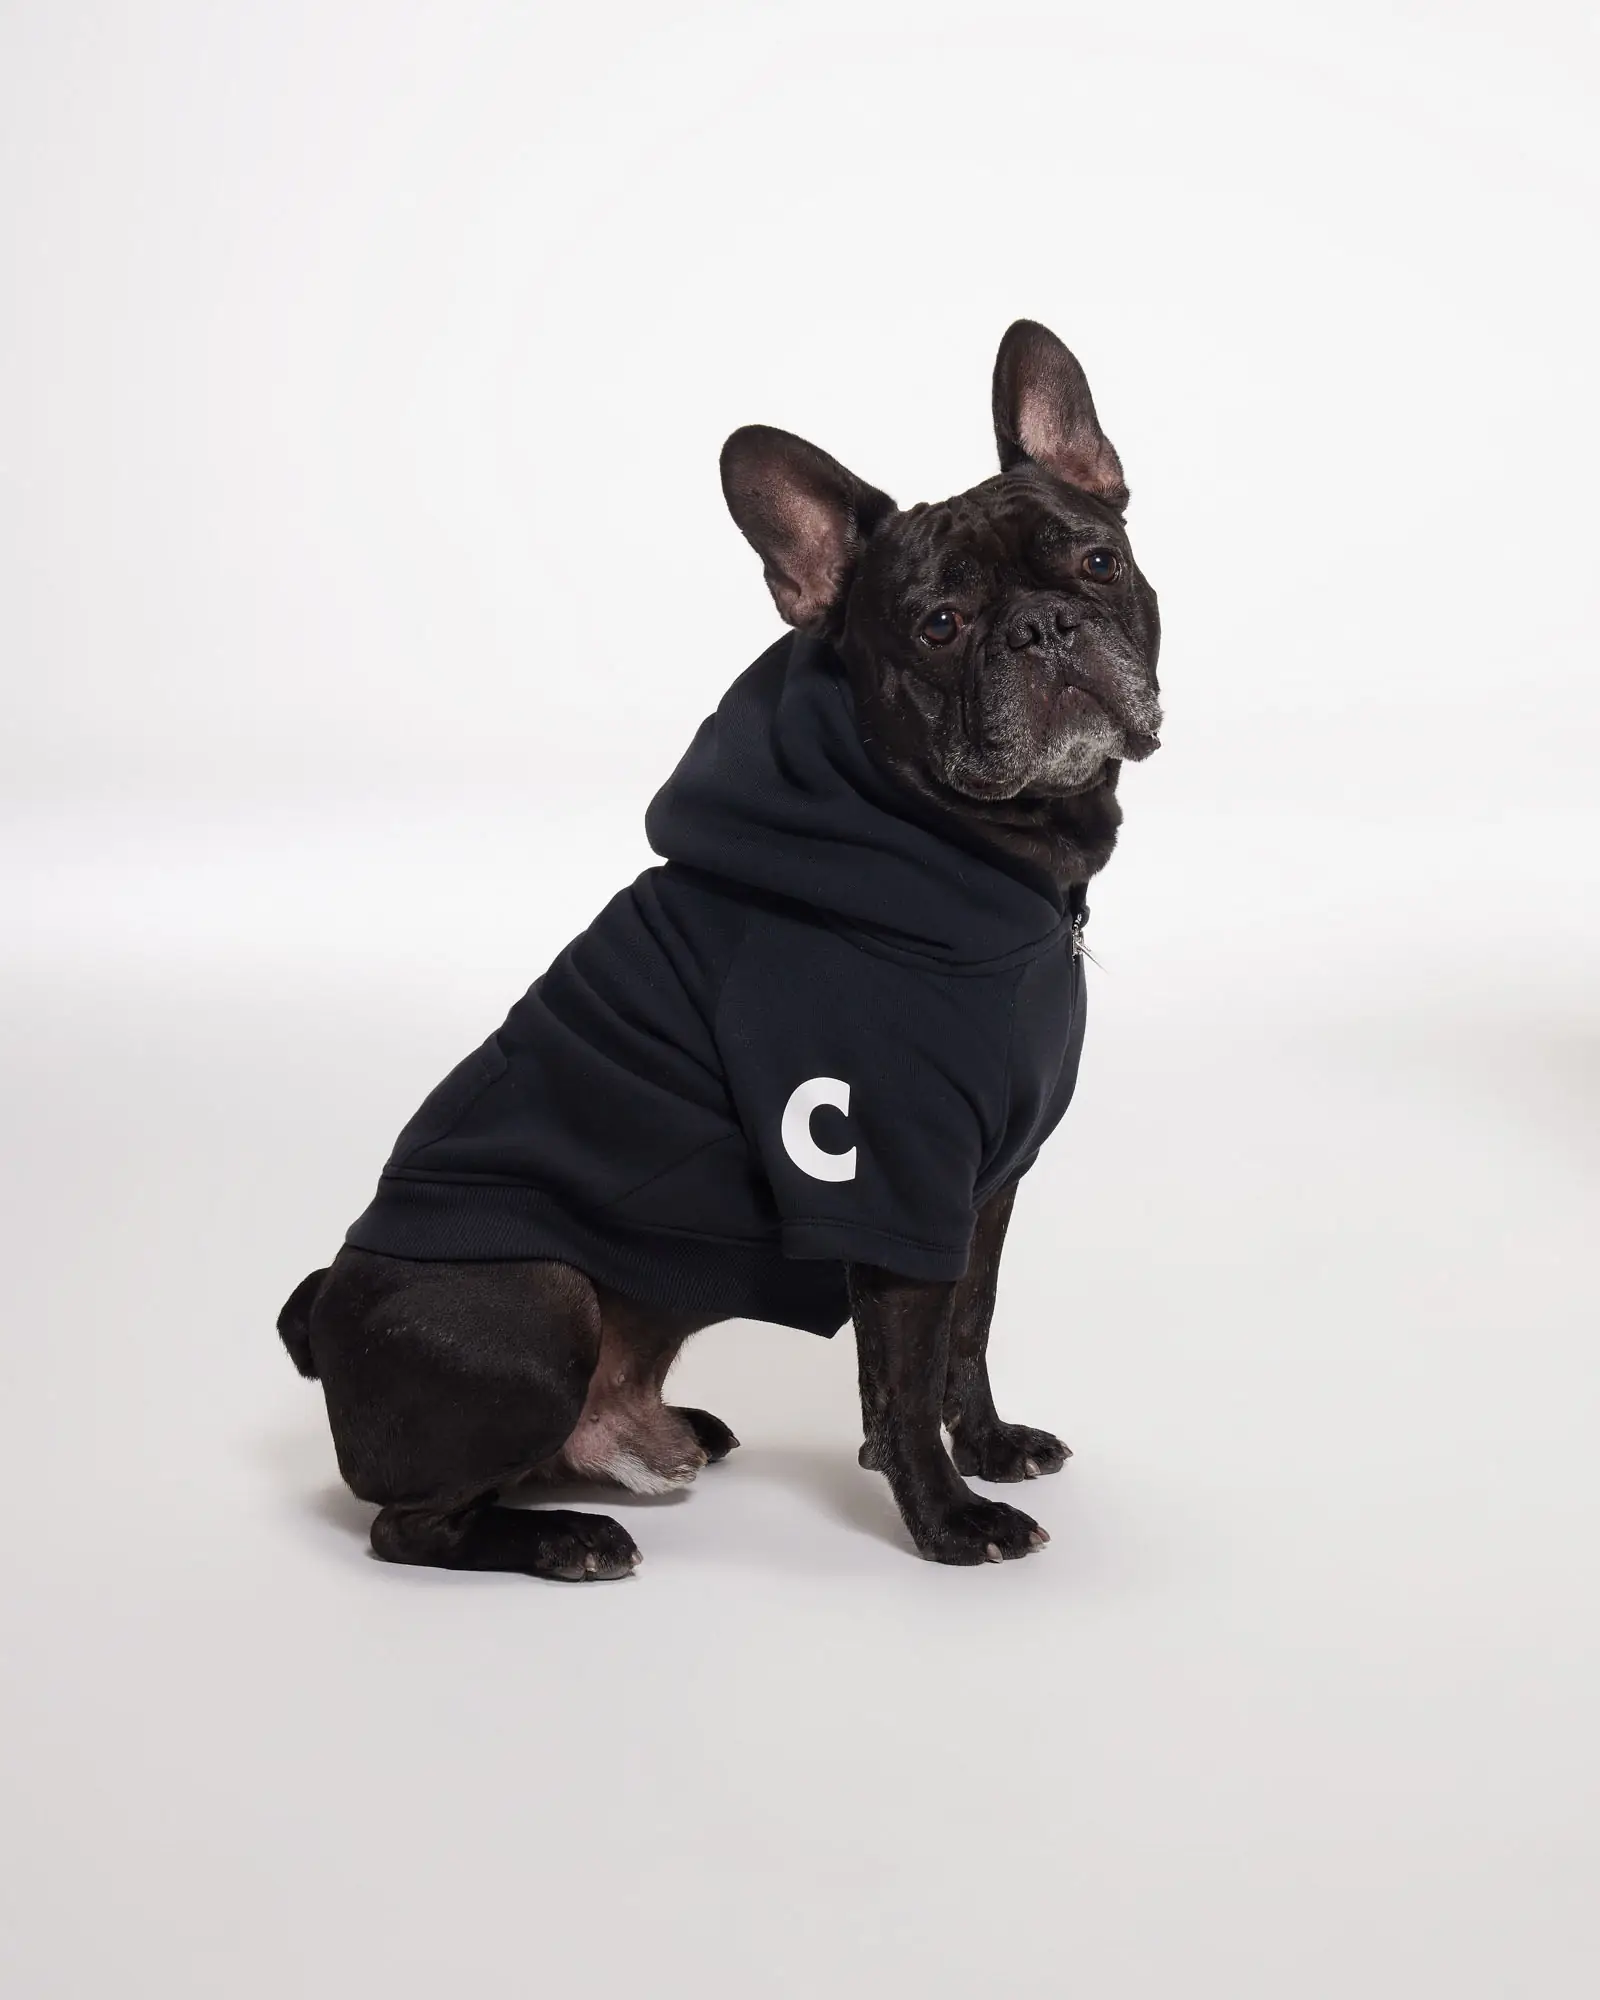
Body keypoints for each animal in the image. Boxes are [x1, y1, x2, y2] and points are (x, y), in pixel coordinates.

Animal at [278, 320, 1161, 1578]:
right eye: (939, 626)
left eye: (1095, 562)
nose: (1043, 627)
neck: (994, 852)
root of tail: (320, 1320)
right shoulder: (891, 1183)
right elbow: (901, 1370)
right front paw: (948, 1518)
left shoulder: (983, 1188)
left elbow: (966, 1329)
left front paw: (987, 1445)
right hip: (542, 1297)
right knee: (408, 1523)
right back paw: (563, 1539)